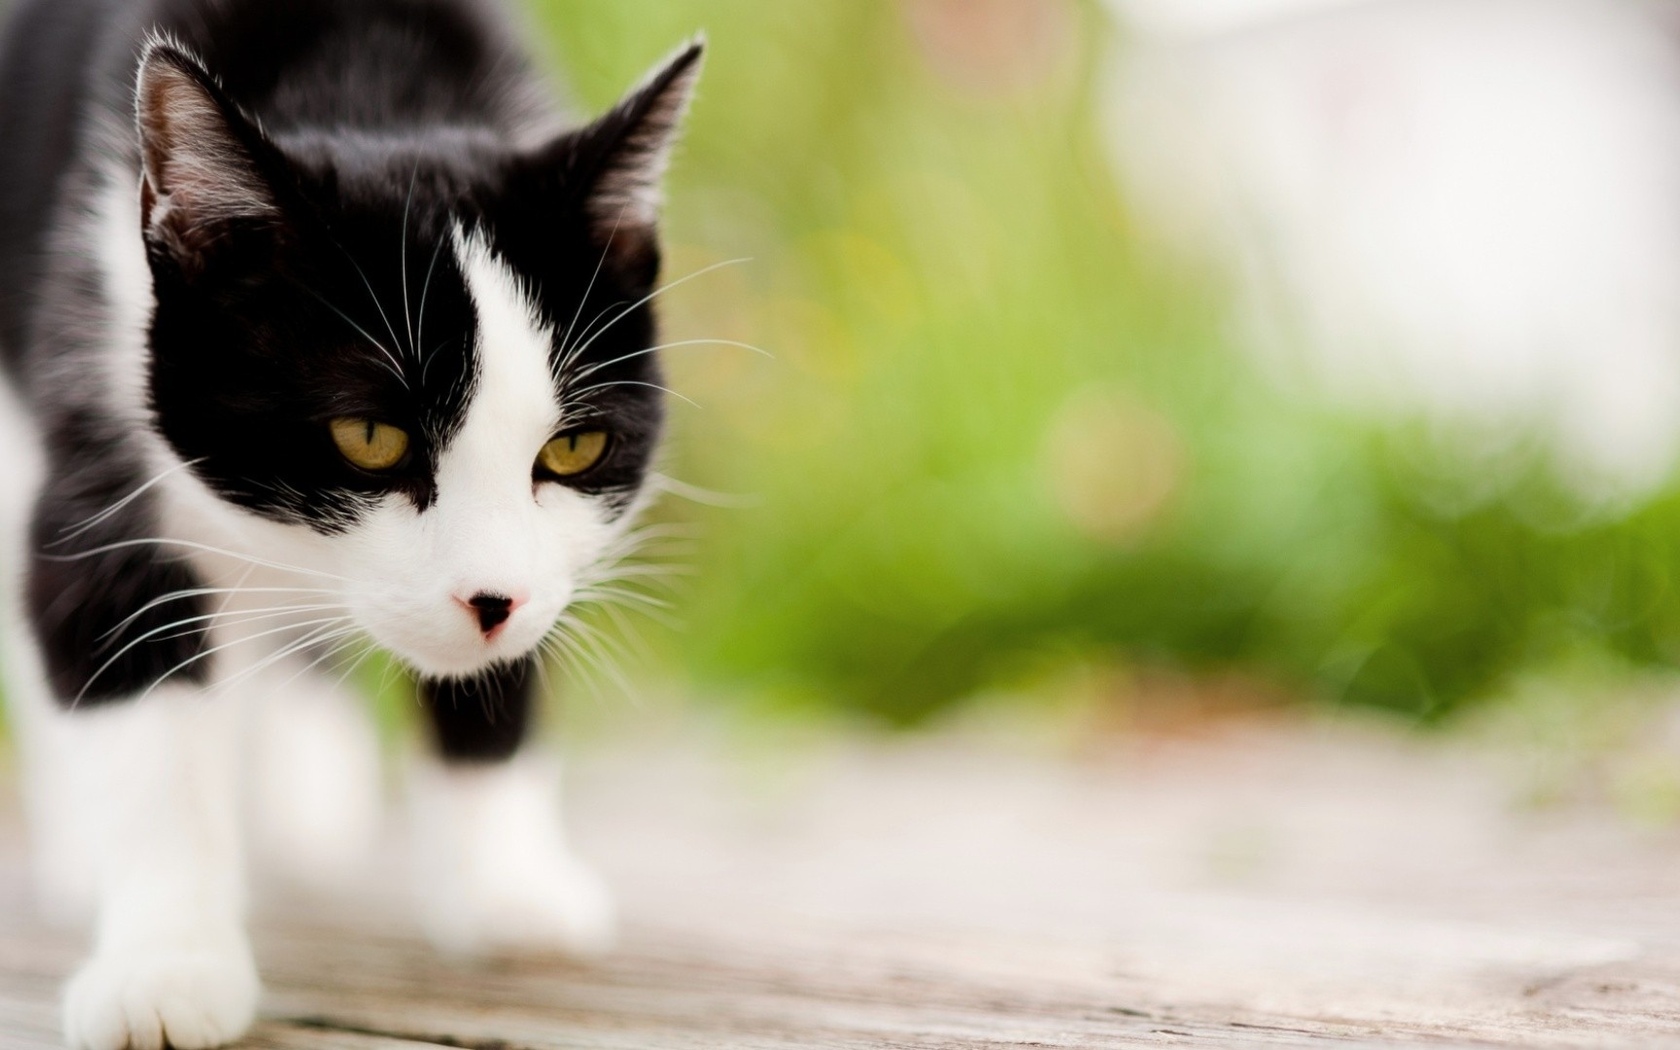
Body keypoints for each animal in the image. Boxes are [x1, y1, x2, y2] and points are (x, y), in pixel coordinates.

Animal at [0, 2, 702, 1048]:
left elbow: (505, 668)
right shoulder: (93, 399)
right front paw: (166, 965)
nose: (491, 598)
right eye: (369, 438)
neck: (369, 81)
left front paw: (504, 887)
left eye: (575, 448)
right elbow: (123, 672)